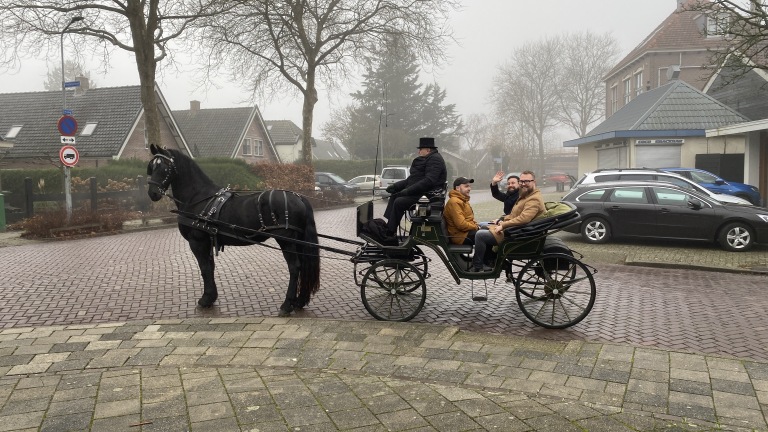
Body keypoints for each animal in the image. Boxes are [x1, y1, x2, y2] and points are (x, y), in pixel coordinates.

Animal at [146, 143, 320, 316]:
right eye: (151, 167)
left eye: (164, 167)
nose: (152, 193)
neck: (198, 198)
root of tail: (298, 197)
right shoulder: (208, 241)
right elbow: (210, 267)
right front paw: (211, 297)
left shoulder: (197, 241)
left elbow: (204, 268)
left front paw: (205, 299)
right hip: (297, 240)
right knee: (303, 265)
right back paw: (299, 301)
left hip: (286, 240)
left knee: (294, 267)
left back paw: (287, 304)